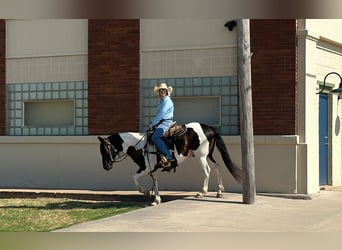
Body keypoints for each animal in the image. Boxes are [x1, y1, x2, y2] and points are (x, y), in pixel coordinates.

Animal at [97, 121, 242, 205]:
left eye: (106, 149)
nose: (106, 166)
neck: (138, 145)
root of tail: (209, 128)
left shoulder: (145, 168)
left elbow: (134, 178)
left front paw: (146, 192)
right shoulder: (152, 169)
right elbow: (155, 183)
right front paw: (156, 200)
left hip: (201, 156)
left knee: (207, 171)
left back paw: (202, 192)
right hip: (208, 156)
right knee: (217, 167)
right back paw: (219, 191)